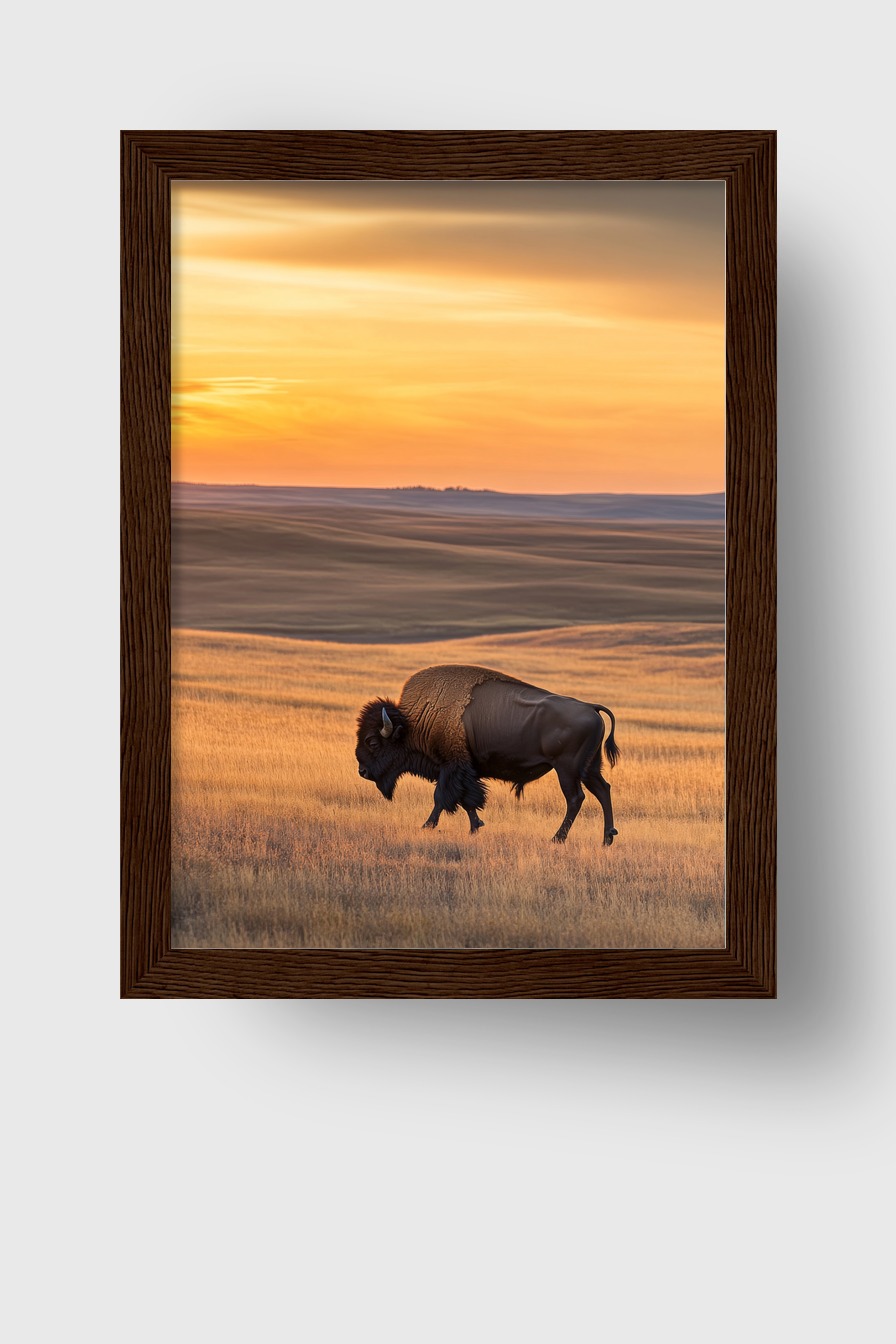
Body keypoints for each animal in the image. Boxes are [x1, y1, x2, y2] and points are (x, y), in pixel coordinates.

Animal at [355, 663, 619, 844]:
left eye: (372, 742)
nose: (362, 771)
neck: (415, 722)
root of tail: (591, 707)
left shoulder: (451, 767)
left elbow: (443, 797)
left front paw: (427, 825)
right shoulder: (464, 770)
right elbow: (467, 800)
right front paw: (476, 827)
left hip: (567, 769)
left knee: (575, 798)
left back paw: (557, 838)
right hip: (589, 768)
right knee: (603, 790)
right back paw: (607, 838)